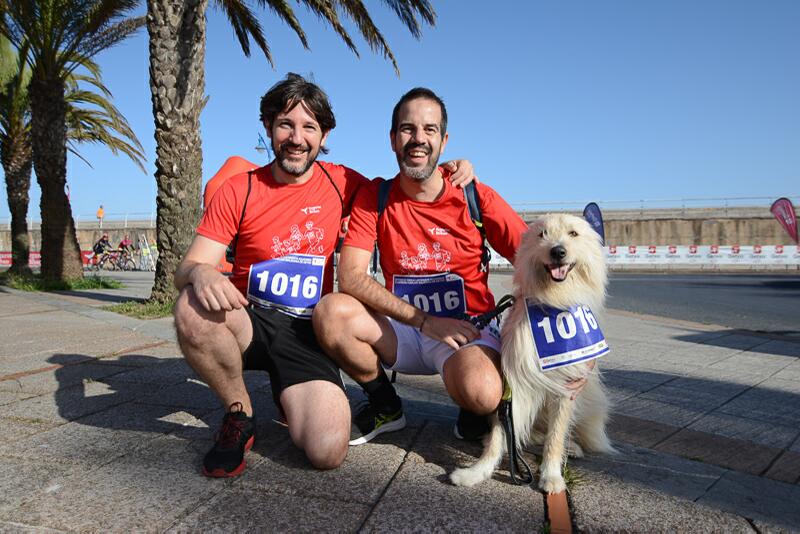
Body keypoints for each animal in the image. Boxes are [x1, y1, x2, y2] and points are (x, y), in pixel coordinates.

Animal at [454, 213, 616, 494]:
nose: (558, 251)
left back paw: (572, 447)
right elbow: (499, 435)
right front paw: (477, 472)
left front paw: (551, 476)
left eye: (573, 234)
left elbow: (556, 437)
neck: (553, 302)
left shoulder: (566, 388)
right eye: (542, 234)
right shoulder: (514, 385)